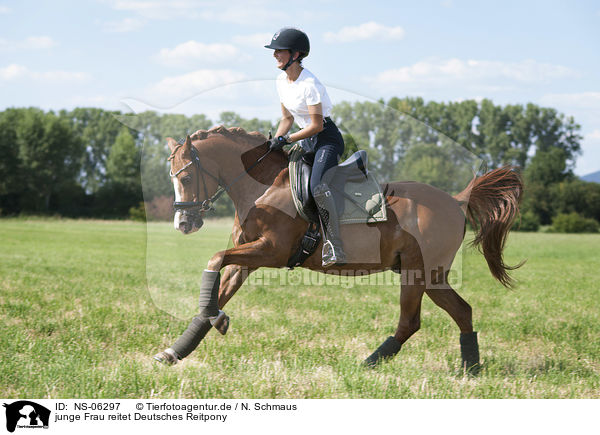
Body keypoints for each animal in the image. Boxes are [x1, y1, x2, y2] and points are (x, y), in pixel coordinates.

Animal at [156, 127, 524, 374]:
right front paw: (178, 349)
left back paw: (369, 363)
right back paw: (470, 369)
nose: (183, 223)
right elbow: (219, 284)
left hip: (418, 273)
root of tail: (456, 200)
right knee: (462, 311)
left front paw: (216, 319)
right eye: (171, 176)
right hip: (432, 278)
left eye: (185, 177)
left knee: (411, 322)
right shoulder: (248, 257)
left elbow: (215, 259)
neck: (263, 187)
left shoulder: (271, 251)